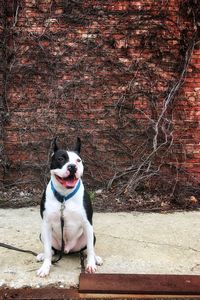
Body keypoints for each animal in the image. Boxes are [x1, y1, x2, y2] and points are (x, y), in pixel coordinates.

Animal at [36, 138, 102, 276]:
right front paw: (45, 267)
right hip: (43, 234)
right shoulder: (46, 224)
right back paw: (42, 255)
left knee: (88, 249)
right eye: (61, 158)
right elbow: (47, 249)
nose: (72, 166)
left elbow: (91, 249)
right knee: (51, 250)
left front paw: (91, 264)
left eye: (78, 160)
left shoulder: (87, 223)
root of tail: (67, 250)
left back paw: (96, 258)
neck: (64, 197)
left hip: (90, 234)